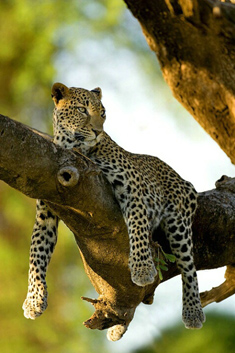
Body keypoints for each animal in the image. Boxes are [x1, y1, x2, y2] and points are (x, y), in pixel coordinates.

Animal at [23, 82, 205, 332]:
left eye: (103, 113)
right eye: (82, 110)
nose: (98, 132)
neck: (74, 146)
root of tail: (182, 179)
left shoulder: (133, 188)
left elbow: (137, 226)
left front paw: (142, 269)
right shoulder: (45, 211)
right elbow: (37, 252)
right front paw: (34, 300)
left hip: (179, 220)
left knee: (188, 266)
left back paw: (193, 311)